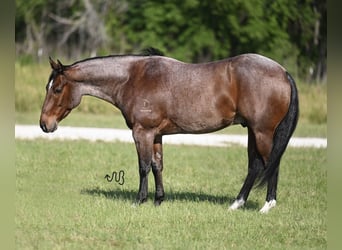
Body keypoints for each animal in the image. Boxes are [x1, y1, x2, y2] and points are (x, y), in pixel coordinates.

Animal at [39, 49, 296, 213]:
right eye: (47, 87)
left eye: (57, 89)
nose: (44, 124)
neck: (133, 77)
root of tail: (283, 71)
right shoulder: (156, 135)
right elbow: (157, 166)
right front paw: (158, 200)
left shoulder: (142, 133)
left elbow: (143, 167)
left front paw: (139, 201)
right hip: (253, 131)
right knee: (256, 166)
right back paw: (237, 204)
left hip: (262, 132)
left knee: (270, 164)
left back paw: (267, 206)